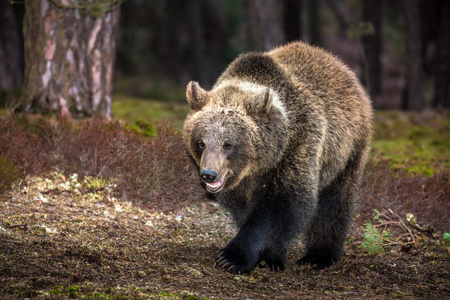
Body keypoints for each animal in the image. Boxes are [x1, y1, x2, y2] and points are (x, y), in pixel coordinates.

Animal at [183, 41, 372, 274]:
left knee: (335, 201)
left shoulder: (296, 148)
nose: (208, 174)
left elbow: (280, 205)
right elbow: (244, 210)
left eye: (228, 144)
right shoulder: (239, 185)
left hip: (346, 150)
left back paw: (318, 256)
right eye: (201, 142)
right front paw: (269, 256)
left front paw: (233, 257)